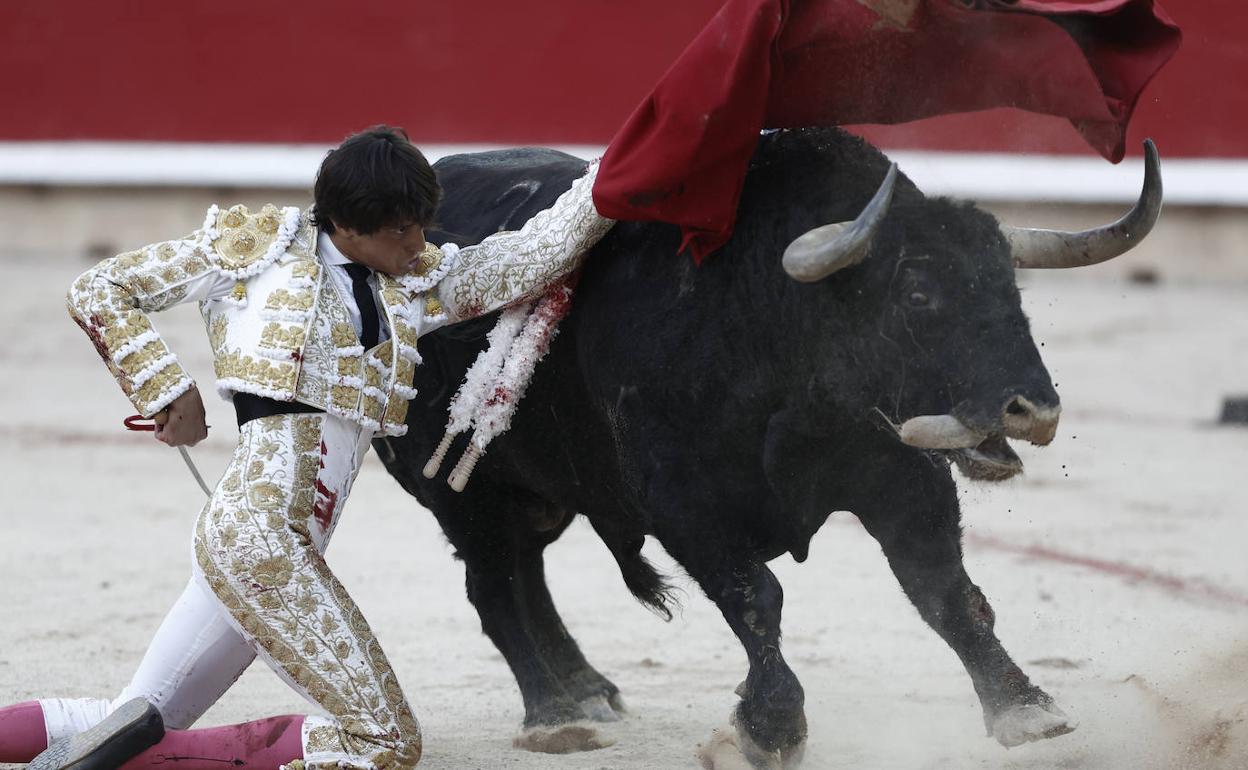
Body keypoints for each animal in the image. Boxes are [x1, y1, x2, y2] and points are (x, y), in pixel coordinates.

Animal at [371, 129, 1158, 758]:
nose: (1032, 407)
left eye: (1010, 290)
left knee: (526, 572)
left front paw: (1025, 708)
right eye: (918, 296)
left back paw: (586, 688)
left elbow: (949, 595)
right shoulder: (686, 506)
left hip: (540, 490)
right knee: (493, 586)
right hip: (459, 492)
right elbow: (757, 599)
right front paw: (771, 728)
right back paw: (556, 716)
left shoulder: (904, 481)